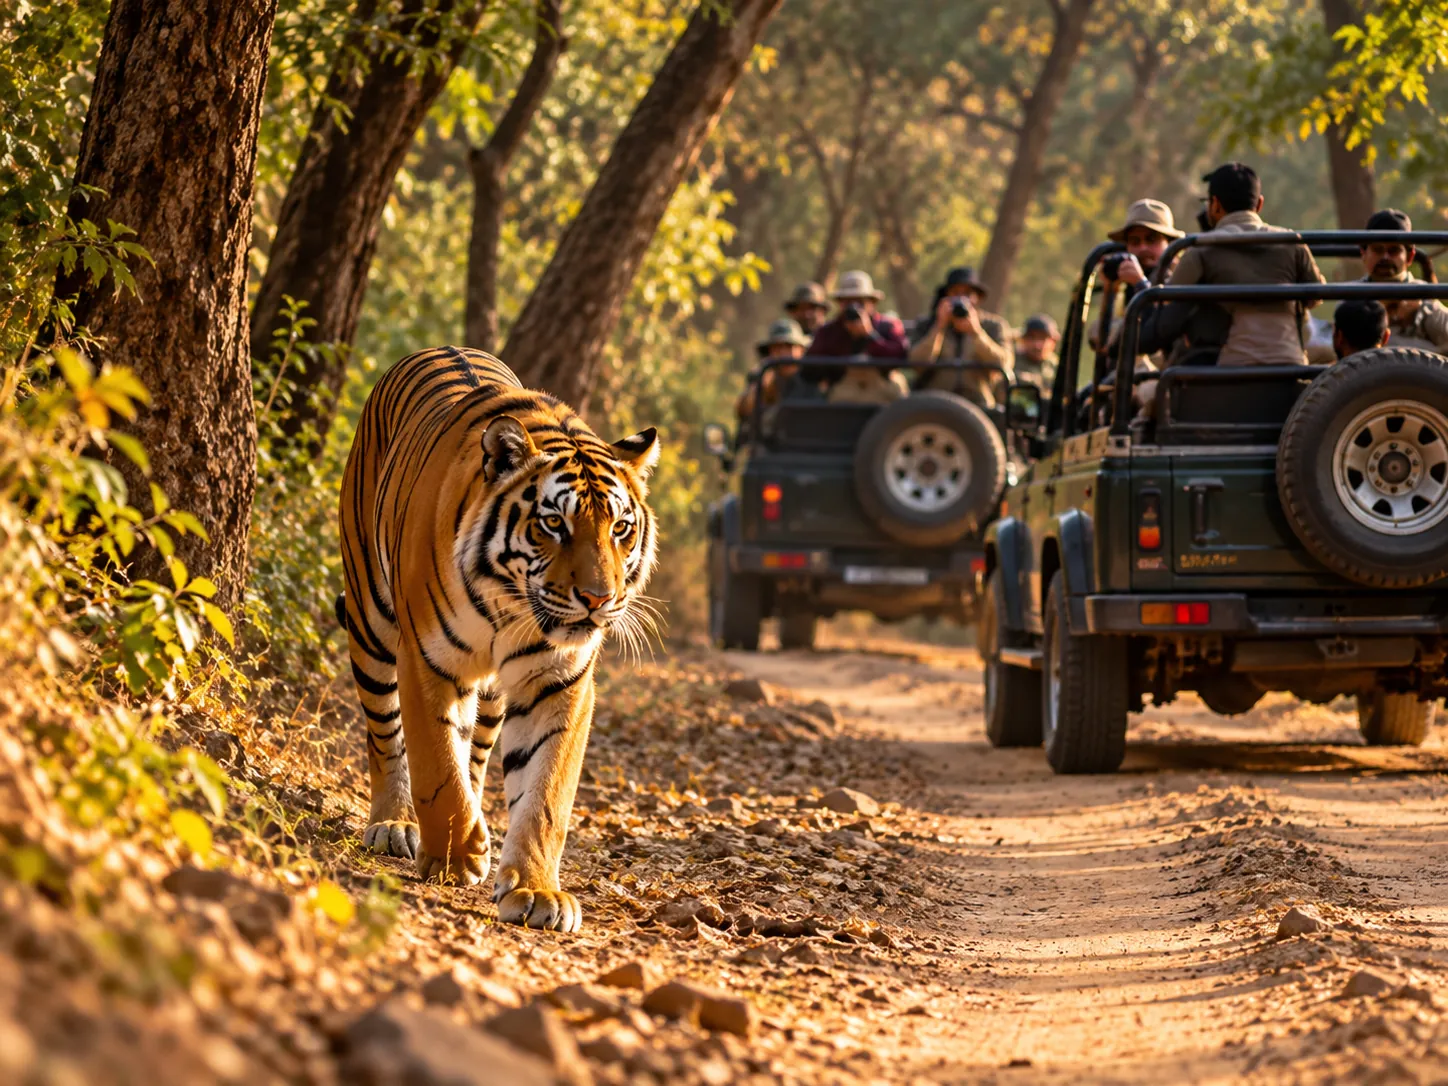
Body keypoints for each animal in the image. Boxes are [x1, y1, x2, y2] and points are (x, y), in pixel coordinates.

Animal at [337, 346, 658, 932]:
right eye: (553, 524)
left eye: (620, 528)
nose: (598, 598)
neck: (510, 605)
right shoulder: (425, 661)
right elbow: (437, 767)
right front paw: (454, 856)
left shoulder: (561, 681)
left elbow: (546, 793)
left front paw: (536, 891)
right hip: (370, 619)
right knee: (383, 733)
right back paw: (395, 824)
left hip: (487, 696)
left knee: (477, 750)